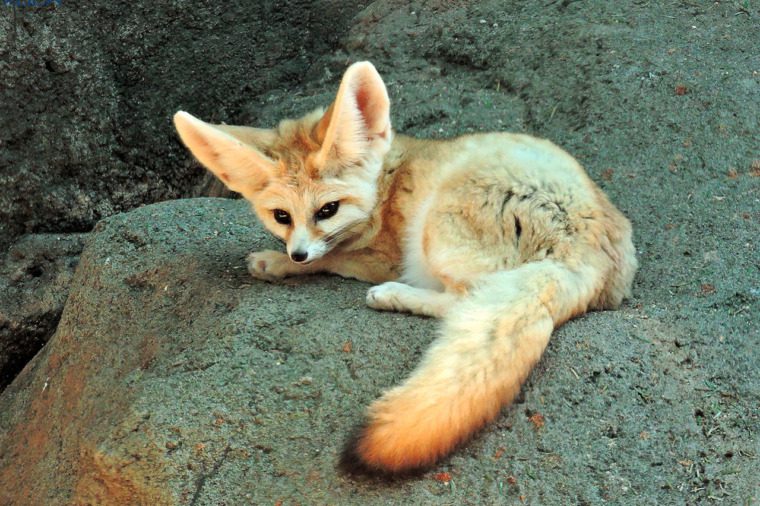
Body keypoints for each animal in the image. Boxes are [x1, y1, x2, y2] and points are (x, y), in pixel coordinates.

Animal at [174, 61, 636, 476]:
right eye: (281, 216)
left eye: (327, 210)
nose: (298, 253)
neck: (387, 179)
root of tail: (586, 242)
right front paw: (282, 256)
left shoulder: (380, 257)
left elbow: (331, 258)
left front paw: (274, 263)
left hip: (436, 229)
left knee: (463, 298)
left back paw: (394, 295)